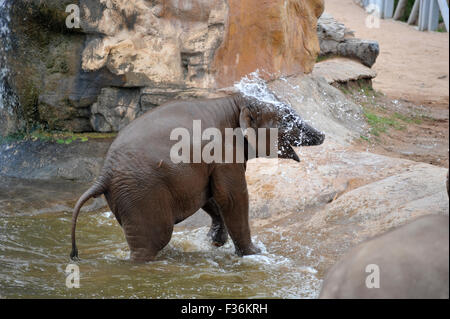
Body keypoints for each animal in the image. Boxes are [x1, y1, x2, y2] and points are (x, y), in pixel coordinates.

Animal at [69, 92, 324, 262]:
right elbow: (232, 196)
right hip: (141, 193)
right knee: (154, 239)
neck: (235, 102)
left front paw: (216, 241)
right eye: (288, 119)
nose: (322, 135)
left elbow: (211, 195)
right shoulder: (223, 151)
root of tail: (104, 174)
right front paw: (254, 254)